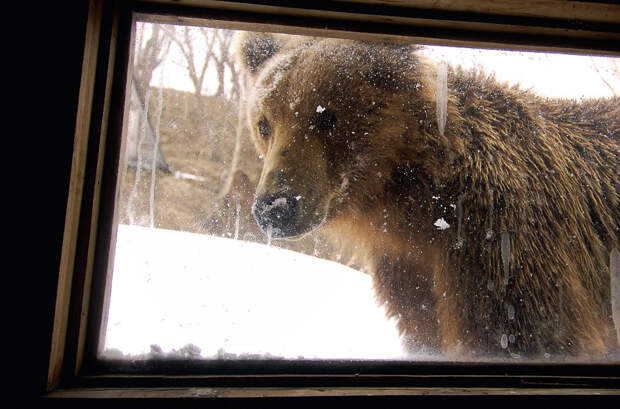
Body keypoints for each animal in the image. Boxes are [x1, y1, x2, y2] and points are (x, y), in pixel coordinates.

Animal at [235, 31, 616, 356]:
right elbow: (422, 325)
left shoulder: (499, 244)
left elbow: (528, 331)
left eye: (326, 116)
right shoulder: (405, 269)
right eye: (264, 123)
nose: (275, 208)